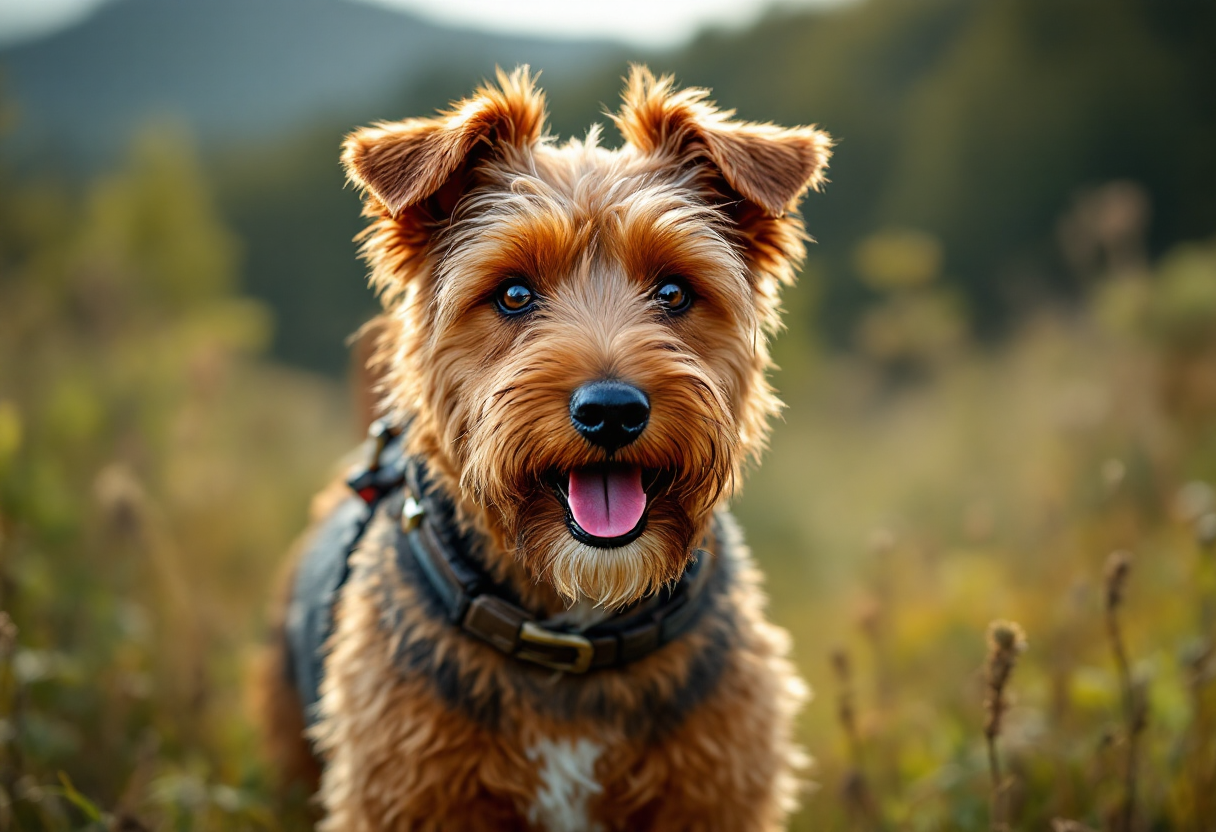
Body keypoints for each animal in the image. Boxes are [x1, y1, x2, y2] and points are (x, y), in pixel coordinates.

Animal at [255, 66, 826, 832]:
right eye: (514, 294)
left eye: (675, 291)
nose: (612, 412)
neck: (572, 633)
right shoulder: (407, 797)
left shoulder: (716, 796)